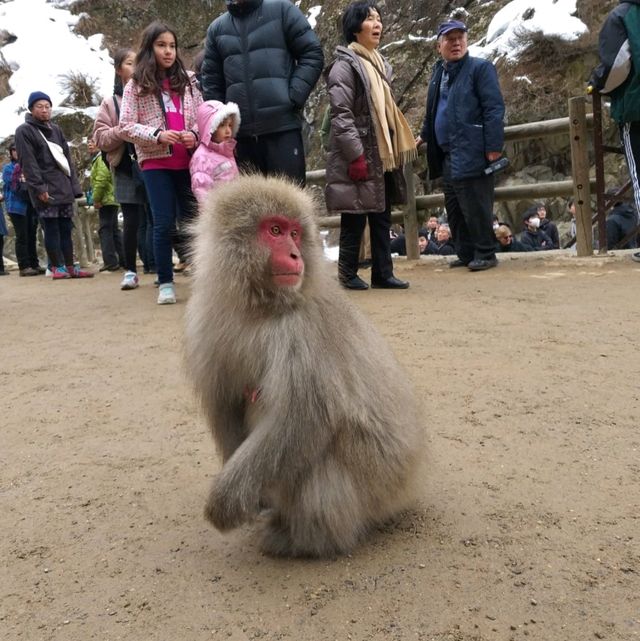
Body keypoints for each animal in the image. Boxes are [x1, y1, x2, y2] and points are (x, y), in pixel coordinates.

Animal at [184, 174, 424, 556]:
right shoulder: (203, 321)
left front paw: (225, 502)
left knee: (316, 454)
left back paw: (305, 539)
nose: (296, 254)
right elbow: (225, 403)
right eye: (276, 230)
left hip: (376, 482)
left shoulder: (303, 331)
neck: (258, 307)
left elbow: (303, 418)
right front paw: (253, 501)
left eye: (295, 233)